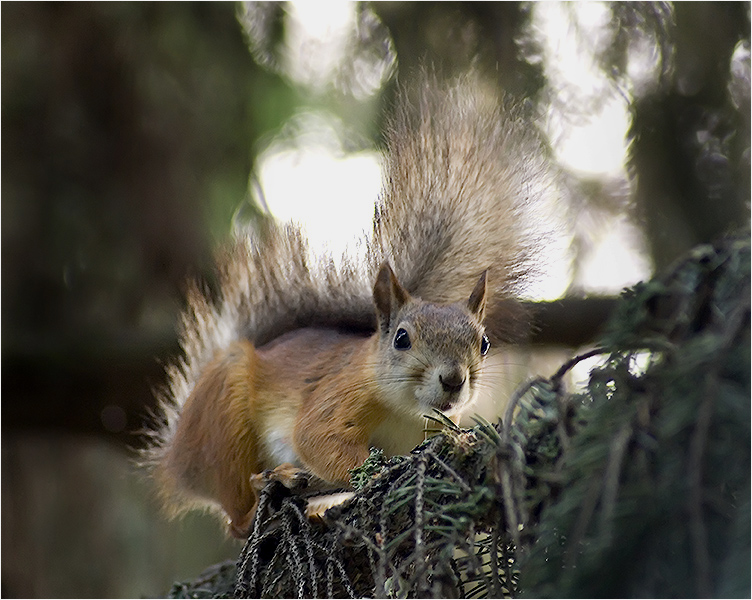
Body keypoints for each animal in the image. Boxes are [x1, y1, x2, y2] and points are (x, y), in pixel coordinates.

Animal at [142, 71, 552, 540]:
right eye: (401, 339)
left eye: (483, 344)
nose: (453, 379)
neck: (404, 414)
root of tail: (177, 458)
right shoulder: (336, 396)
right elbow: (319, 440)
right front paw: (379, 470)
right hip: (224, 426)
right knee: (237, 517)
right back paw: (270, 490)